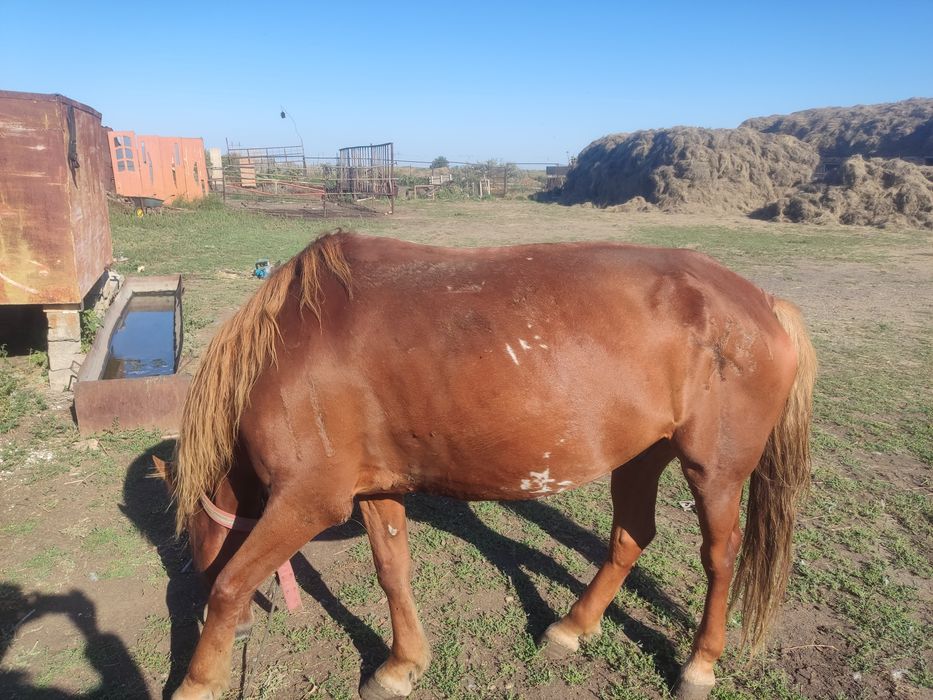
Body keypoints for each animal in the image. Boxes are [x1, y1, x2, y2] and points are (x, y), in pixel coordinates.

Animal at [157, 230, 815, 700]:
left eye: (191, 537)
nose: (213, 622)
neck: (288, 348)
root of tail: (763, 302)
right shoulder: (373, 491)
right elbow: (392, 572)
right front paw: (401, 666)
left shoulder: (307, 500)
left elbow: (232, 582)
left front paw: (198, 682)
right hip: (640, 454)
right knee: (632, 536)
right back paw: (572, 628)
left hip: (714, 472)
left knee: (720, 557)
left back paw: (700, 665)